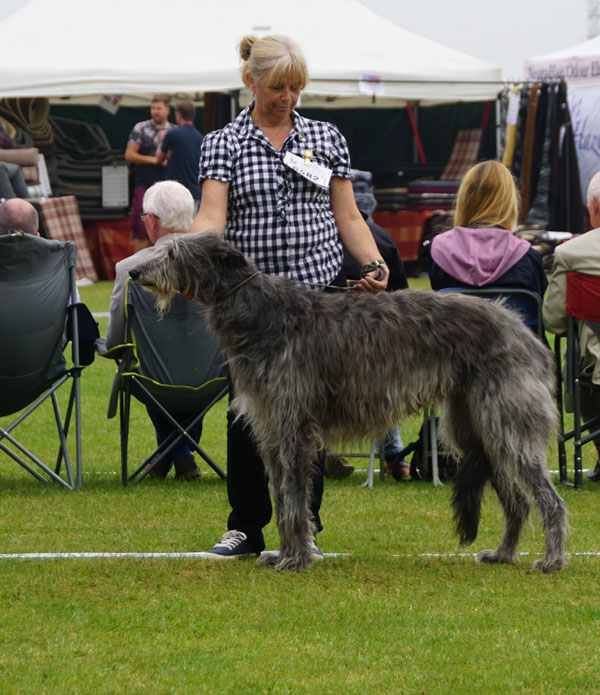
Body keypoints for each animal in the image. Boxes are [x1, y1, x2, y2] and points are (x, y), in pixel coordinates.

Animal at [131, 231, 568, 572]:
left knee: (549, 498)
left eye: (174, 253)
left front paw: (297, 559)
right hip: (475, 429)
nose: (134, 272)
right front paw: (284, 555)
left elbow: (294, 498)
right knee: (518, 501)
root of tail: (522, 328)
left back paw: (552, 560)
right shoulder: (271, 429)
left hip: (505, 422)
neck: (260, 312)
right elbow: (282, 496)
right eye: (162, 246)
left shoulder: (295, 427)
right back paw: (503, 554)